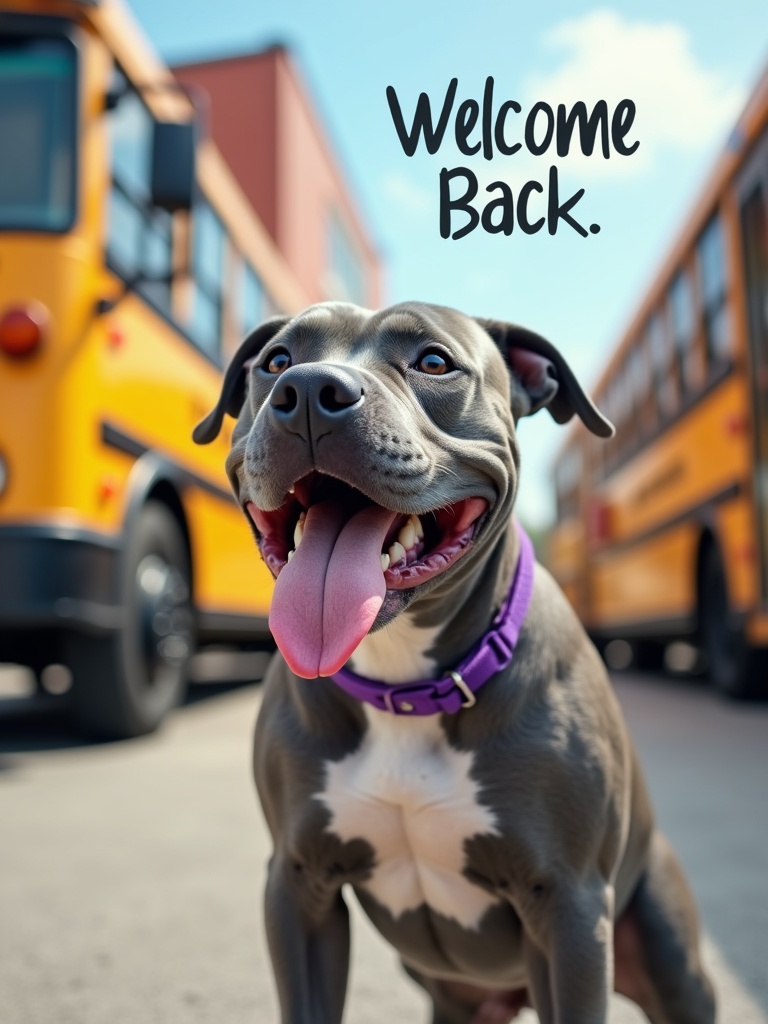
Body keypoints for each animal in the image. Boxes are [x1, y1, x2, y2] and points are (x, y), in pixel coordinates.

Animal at [193, 301, 716, 1024]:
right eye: (276, 361)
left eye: (434, 362)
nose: (308, 390)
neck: (405, 688)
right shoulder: (298, 890)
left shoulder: (572, 912)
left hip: (670, 961)